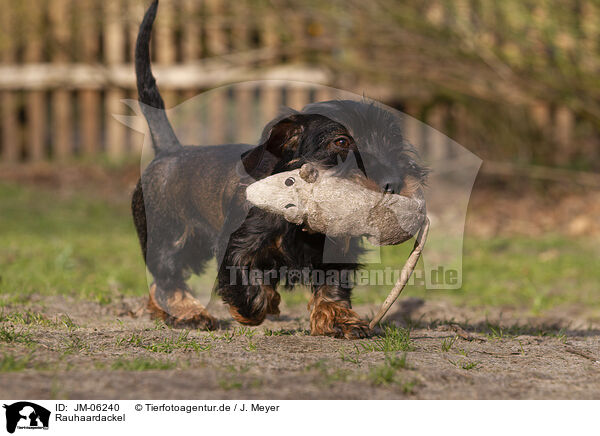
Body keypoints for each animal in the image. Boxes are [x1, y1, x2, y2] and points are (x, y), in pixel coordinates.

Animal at [131, 0, 426, 338]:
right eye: (341, 141)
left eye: (394, 140)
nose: (395, 182)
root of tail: (170, 150)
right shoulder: (238, 246)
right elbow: (246, 281)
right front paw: (257, 306)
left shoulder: (335, 253)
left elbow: (332, 287)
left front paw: (340, 319)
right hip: (170, 240)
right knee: (167, 280)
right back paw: (190, 314)